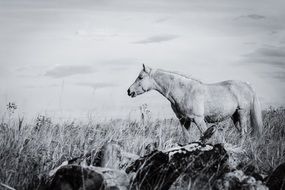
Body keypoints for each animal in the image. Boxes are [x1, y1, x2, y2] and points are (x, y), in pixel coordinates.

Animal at [126, 64, 262, 142]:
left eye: (141, 77)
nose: (129, 91)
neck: (184, 91)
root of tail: (247, 85)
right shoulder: (184, 120)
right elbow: (187, 139)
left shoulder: (199, 119)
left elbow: (207, 137)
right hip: (235, 116)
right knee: (241, 132)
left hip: (242, 113)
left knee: (243, 133)